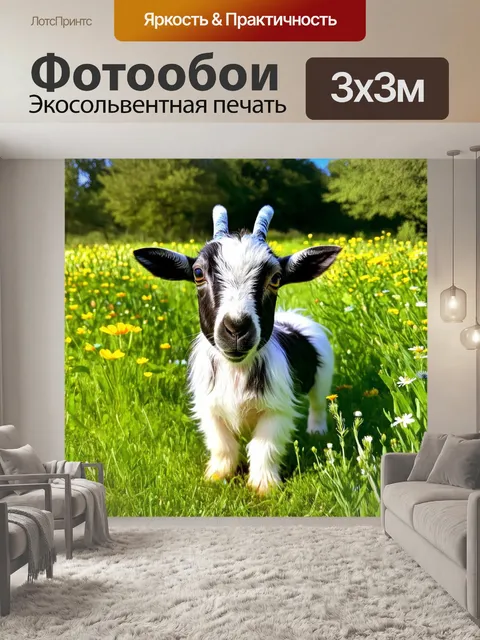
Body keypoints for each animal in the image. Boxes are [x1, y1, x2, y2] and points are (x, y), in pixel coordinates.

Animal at [134, 206, 341, 494]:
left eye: (276, 278)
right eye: (198, 273)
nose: (236, 328)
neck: (236, 370)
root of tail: (293, 317)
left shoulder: (277, 409)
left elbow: (264, 448)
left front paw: (264, 486)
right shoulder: (209, 408)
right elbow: (222, 445)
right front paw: (217, 476)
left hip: (323, 378)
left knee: (318, 405)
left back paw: (317, 431)